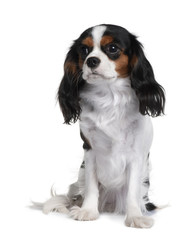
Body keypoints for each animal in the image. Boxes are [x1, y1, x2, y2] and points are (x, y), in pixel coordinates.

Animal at [39, 24, 164, 229]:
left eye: (112, 48)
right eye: (84, 50)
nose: (91, 60)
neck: (109, 96)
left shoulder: (136, 156)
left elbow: (132, 191)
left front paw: (134, 217)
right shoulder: (90, 150)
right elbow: (91, 186)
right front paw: (88, 211)